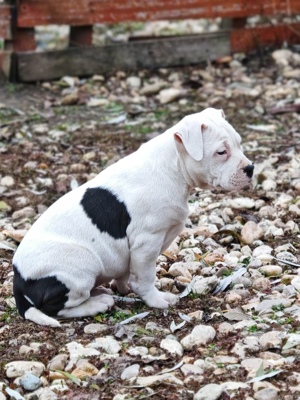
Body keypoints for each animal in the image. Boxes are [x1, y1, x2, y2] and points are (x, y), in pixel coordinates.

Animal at [12, 108, 254, 326]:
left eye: (239, 143)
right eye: (221, 152)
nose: (251, 168)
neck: (172, 167)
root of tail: (18, 281)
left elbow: (126, 272)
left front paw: (124, 287)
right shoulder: (147, 242)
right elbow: (145, 277)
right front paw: (156, 299)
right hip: (80, 266)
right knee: (56, 308)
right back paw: (96, 304)